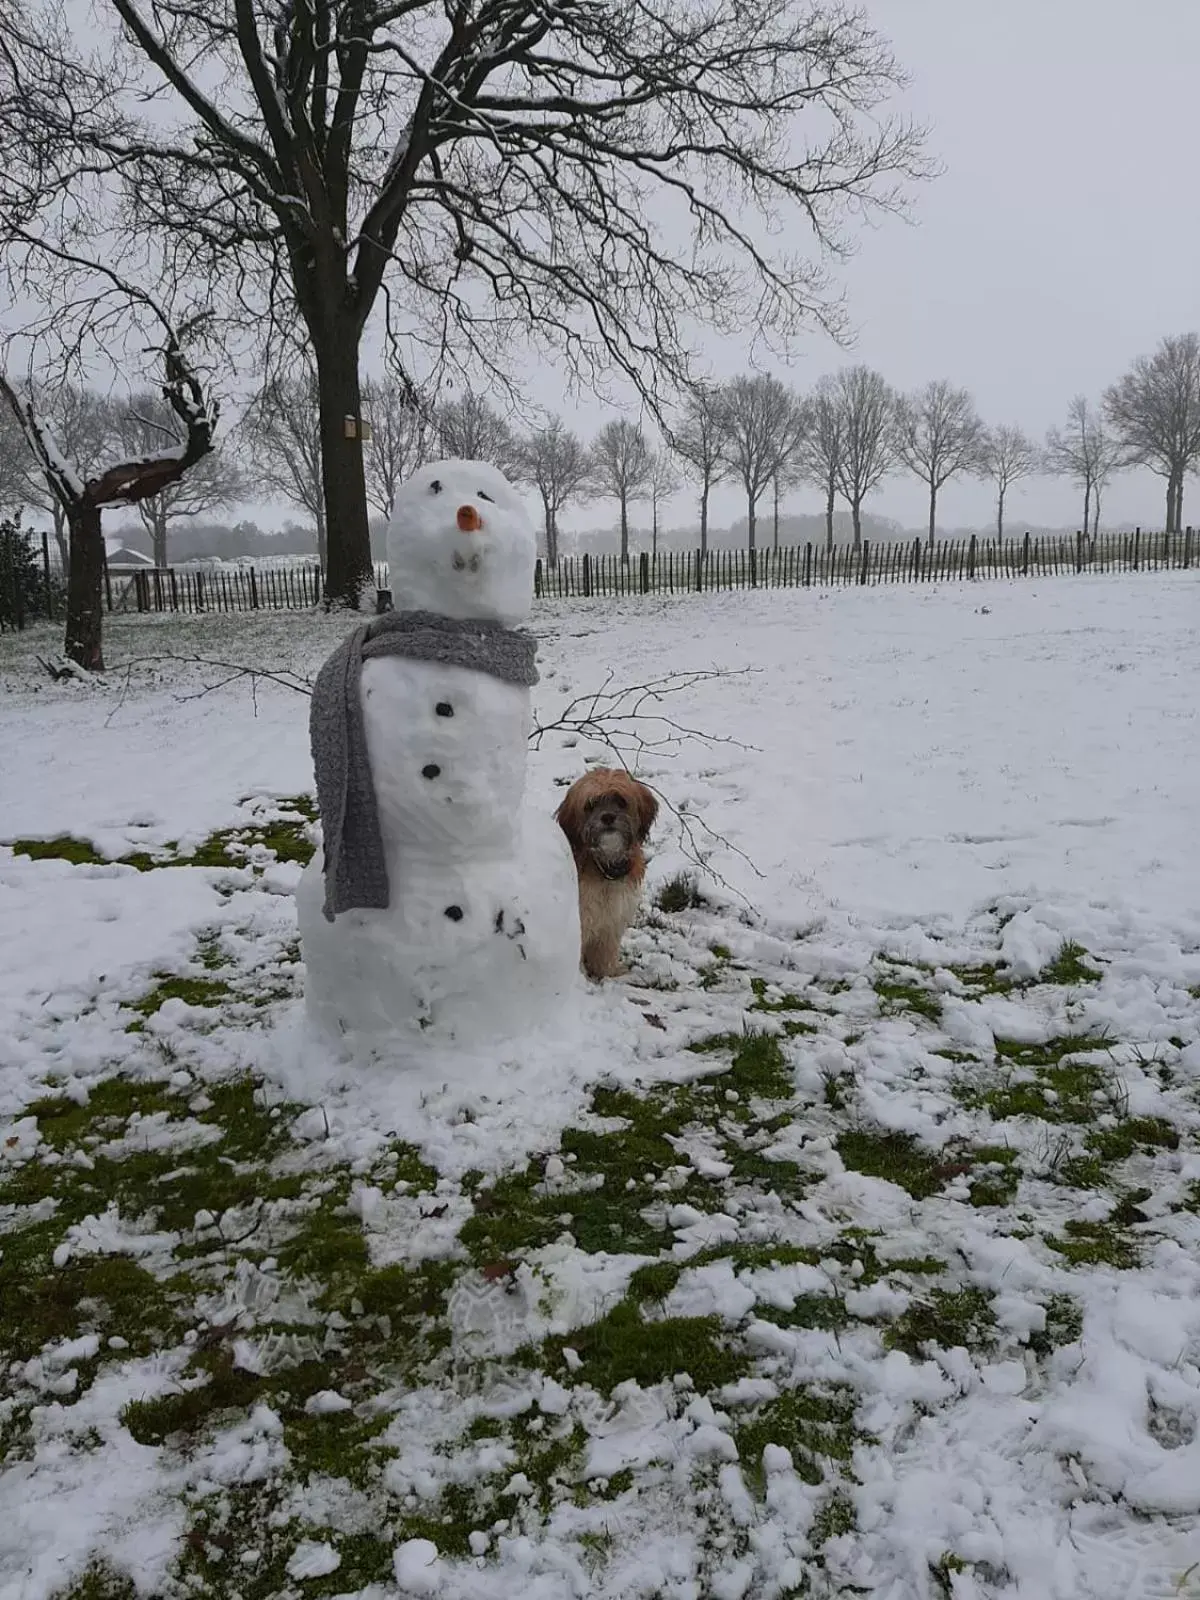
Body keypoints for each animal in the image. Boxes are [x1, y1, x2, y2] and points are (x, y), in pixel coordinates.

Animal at [560, 768, 662, 979]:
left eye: (621, 801)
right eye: (590, 804)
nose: (607, 817)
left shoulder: (612, 917)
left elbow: (605, 948)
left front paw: (608, 972)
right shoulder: (583, 916)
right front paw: (581, 977)